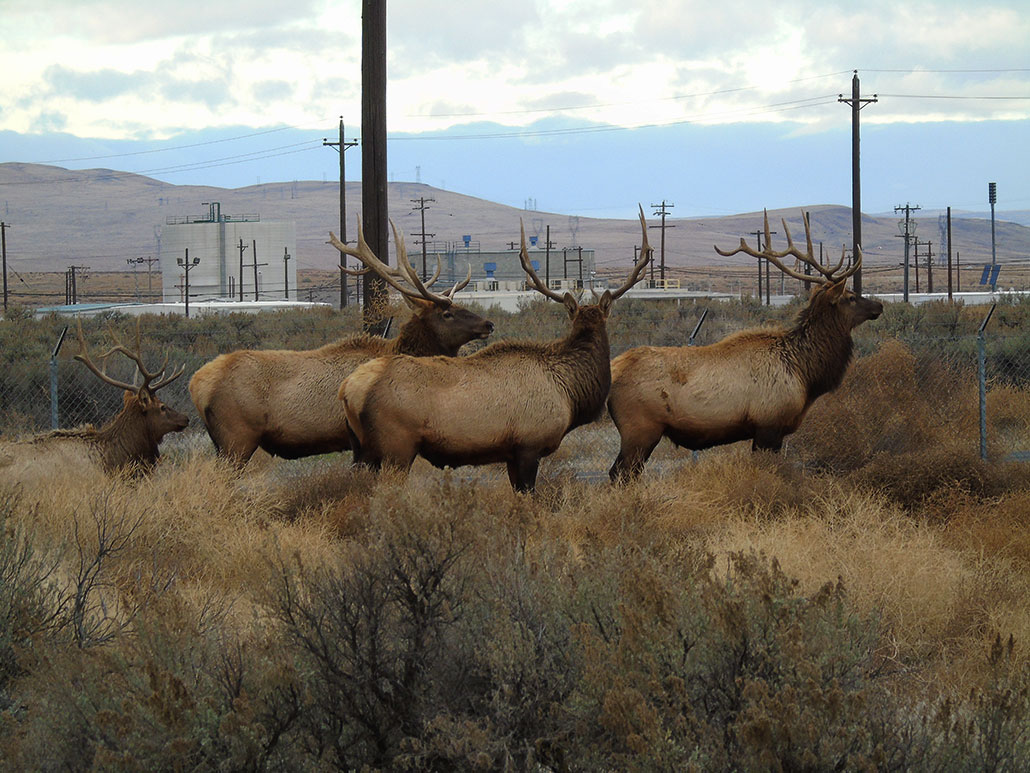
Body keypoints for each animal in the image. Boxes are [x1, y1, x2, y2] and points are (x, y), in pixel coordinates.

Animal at [338, 207, 653, 493]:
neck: (570, 392)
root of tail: (349, 389)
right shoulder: (529, 445)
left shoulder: (511, 454)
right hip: (396, 446)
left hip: (363, 450)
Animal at [607, 209, 883, 481]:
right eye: (851, 297)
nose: (879, 305)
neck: (805, 374)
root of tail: (612, 369)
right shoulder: (768, 425)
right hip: (640, 429)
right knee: (620, 473)